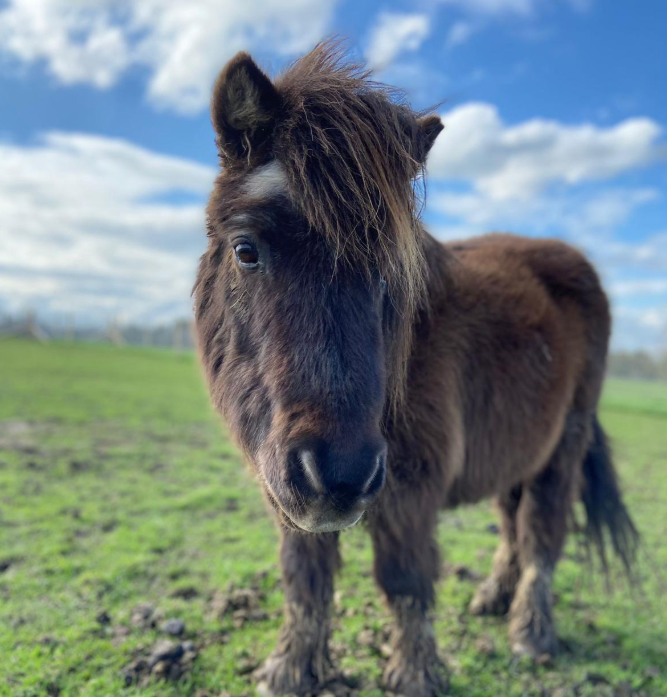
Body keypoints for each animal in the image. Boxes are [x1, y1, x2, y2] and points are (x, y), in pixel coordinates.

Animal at [193, 41, 638, 697]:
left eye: (388, 273)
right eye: (247, 250)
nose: (338, 474)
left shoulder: (411, 484)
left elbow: (404, 579)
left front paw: (414, 673)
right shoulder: (286, 489)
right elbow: (304, 577)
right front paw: (291, 669)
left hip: (564, 446)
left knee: (541, 535)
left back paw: (531, 631)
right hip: (515, 449)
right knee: (511, 523)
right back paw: (493, 597)